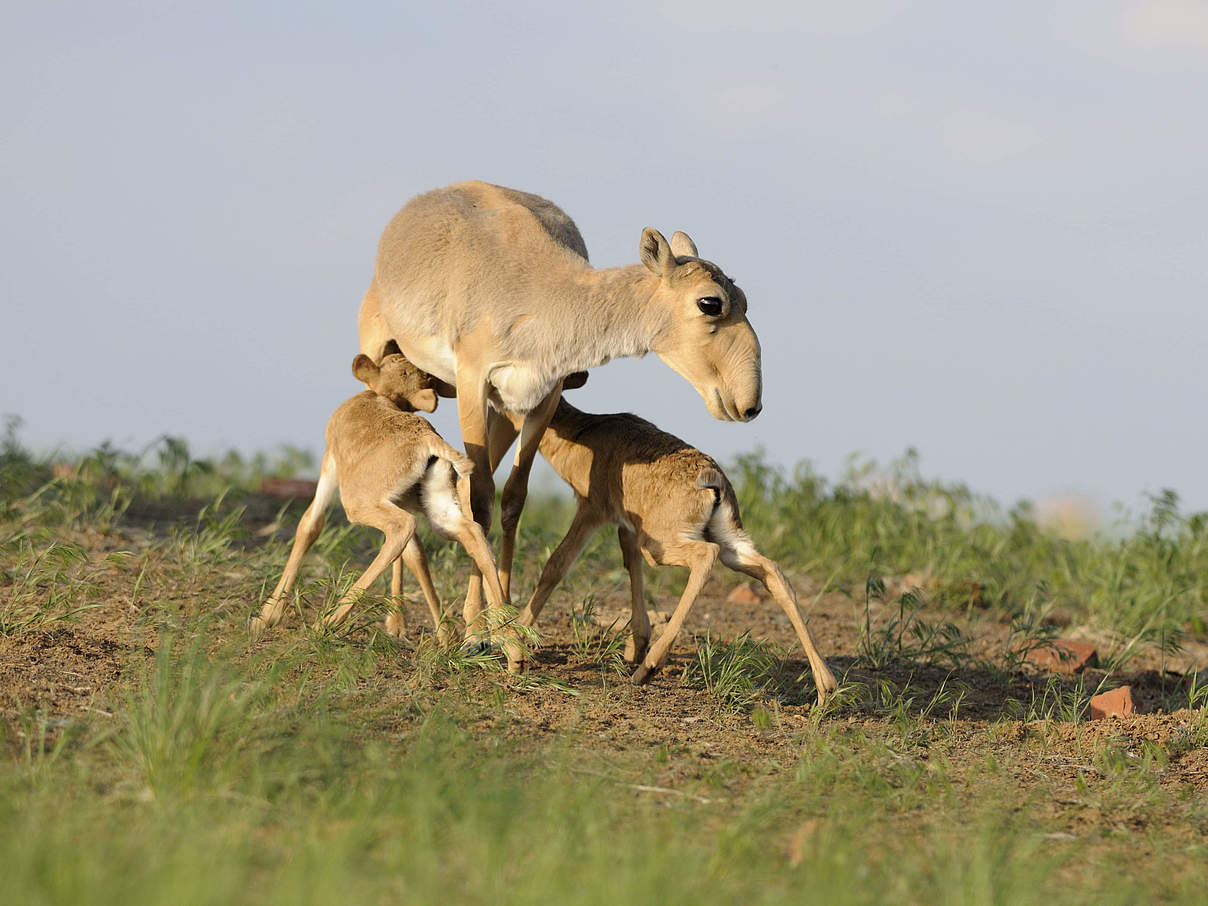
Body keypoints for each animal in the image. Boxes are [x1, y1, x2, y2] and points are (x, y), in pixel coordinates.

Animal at [254, 352, 519, 666]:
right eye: (408, 369)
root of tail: (427, 439)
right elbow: (416, 555)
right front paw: (445, 638)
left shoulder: (329, 461)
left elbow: (309, 525)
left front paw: (266, 617)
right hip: (440, 508)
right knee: (471, 533)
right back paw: (513, 649)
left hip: (358, 503)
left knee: (401, 528)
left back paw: (325, 624)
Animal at [352, 182, 763, 628]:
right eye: (710, 302)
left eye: (745, 298)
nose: (751, 404)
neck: (540, 293)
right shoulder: (472, 383)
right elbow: (480, 501)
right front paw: (480, 623)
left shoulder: (540, 398)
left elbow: (513, 498)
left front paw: (499, 615)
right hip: (380, 353)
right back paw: (396, 620)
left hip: (502, 409)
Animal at [519, 401, 840, 705]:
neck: (584, 431)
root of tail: (713, 479)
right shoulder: (627, 526)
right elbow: (630, 563)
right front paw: (634, 647)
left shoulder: (592, 510)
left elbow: (557, 563)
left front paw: (515, 637)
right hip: (731, 544)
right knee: (772, 571)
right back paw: (826, 690)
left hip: (662, 547)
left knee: (705, 556)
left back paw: (648, 669)